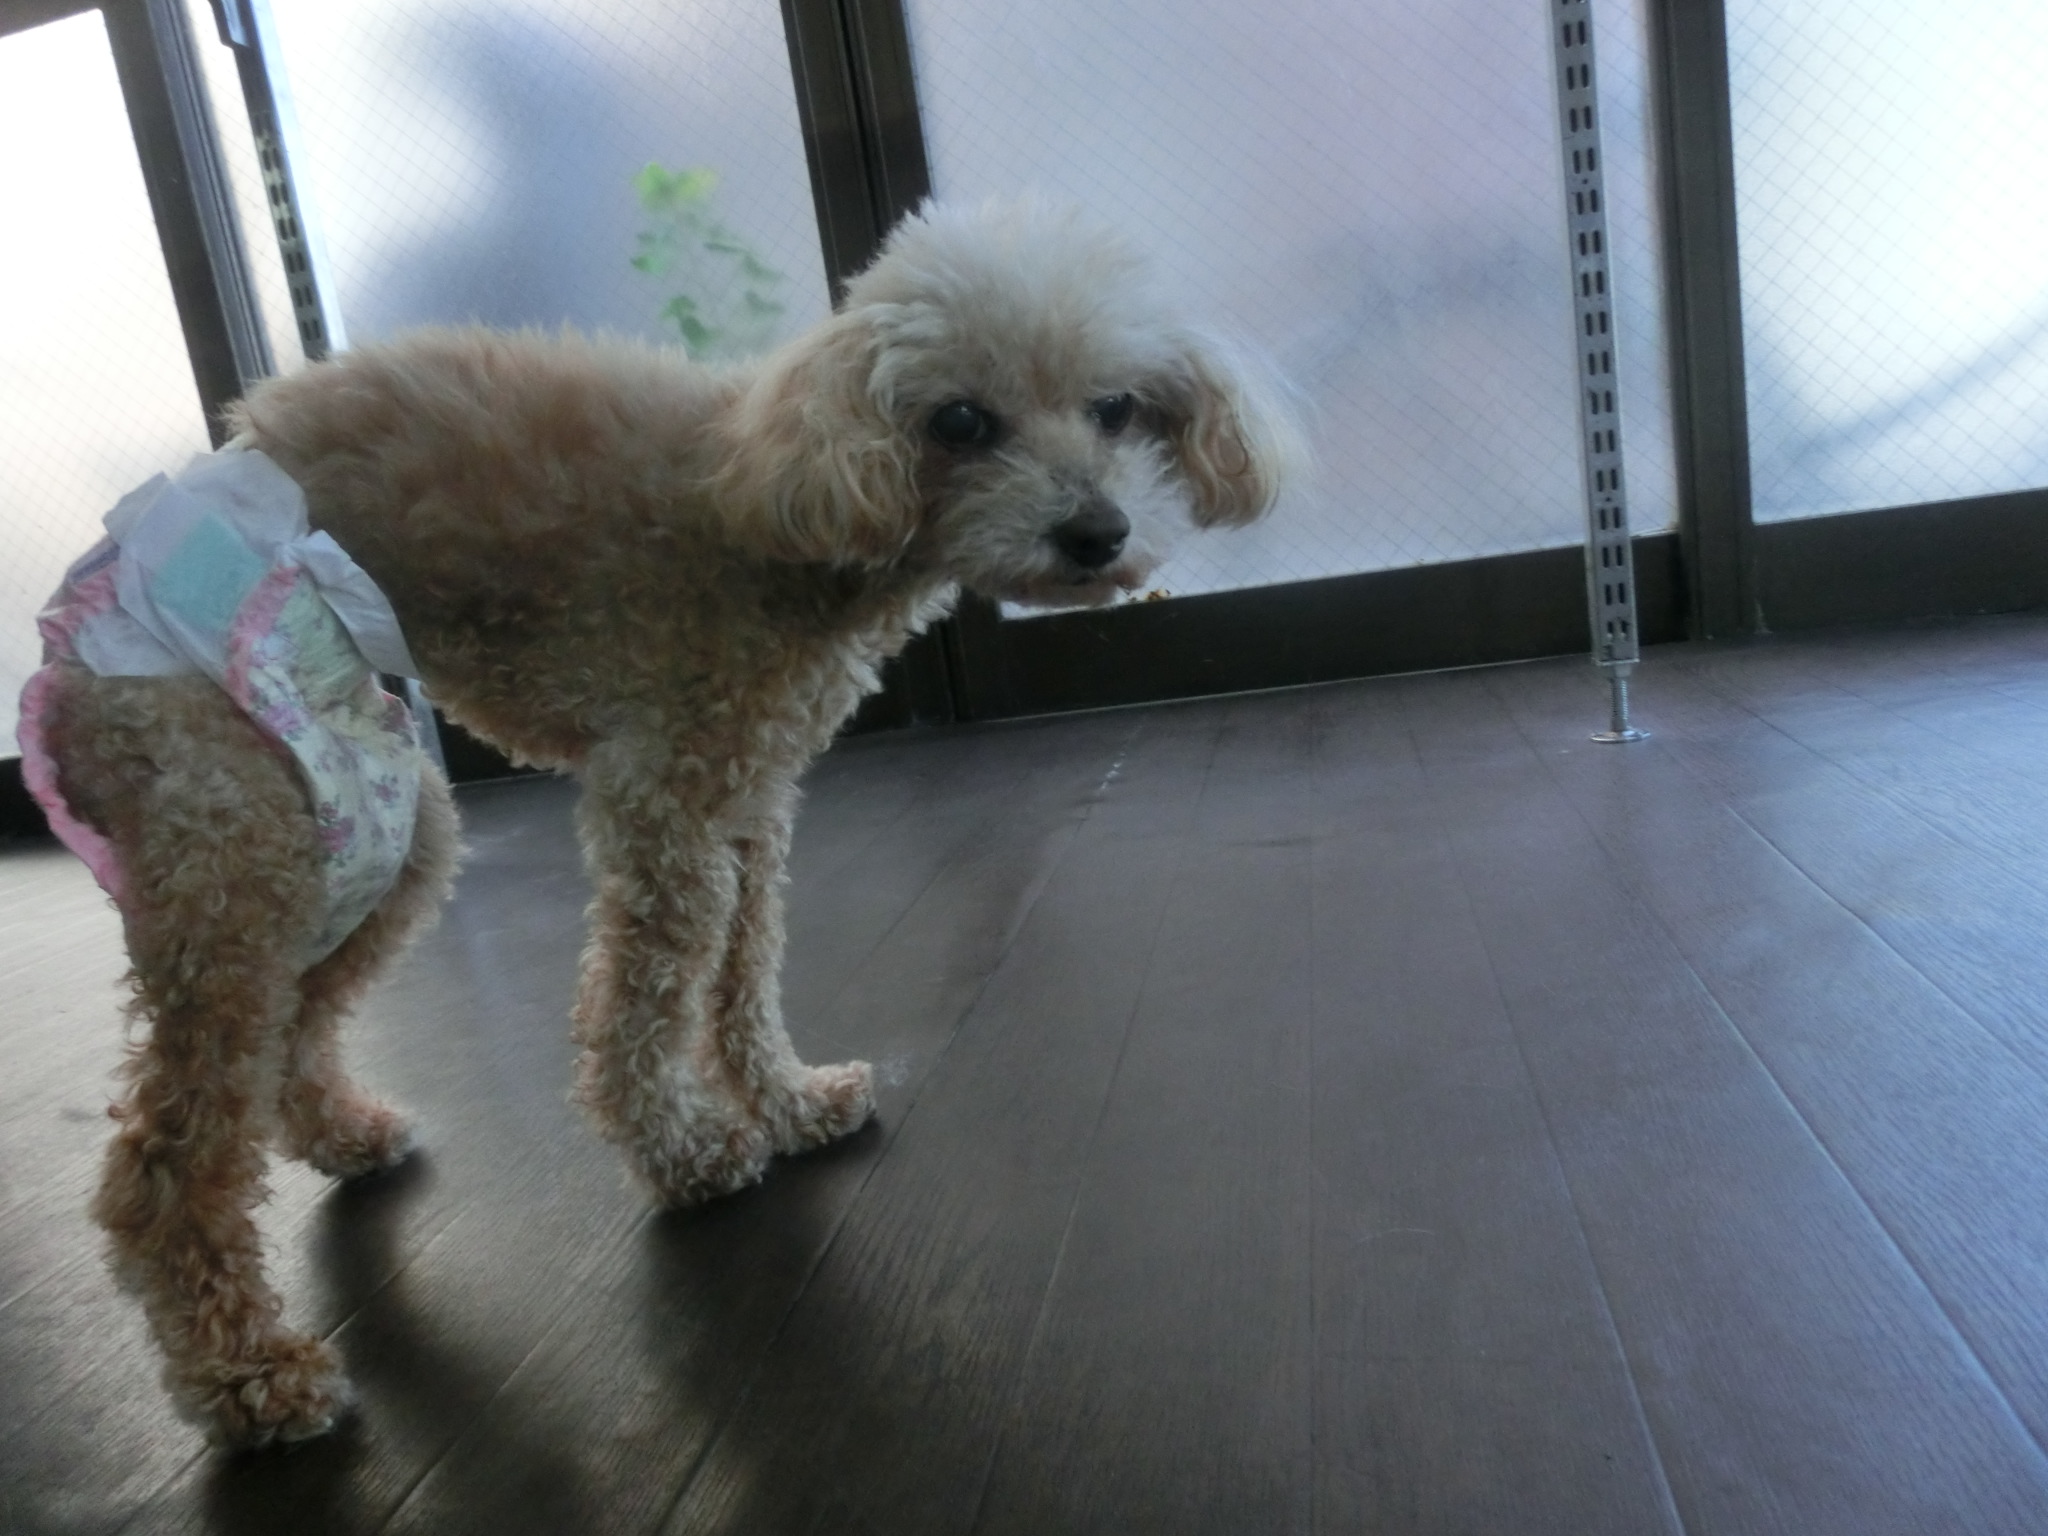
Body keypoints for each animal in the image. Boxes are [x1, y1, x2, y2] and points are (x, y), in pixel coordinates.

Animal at [28, 199, 1295, 1446]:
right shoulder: (664, 810)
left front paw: (788, 1105)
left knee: (293, 1025)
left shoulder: (748, 809)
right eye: (960, 422)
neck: (787, 496)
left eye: (1114, 407)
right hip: (239, 830)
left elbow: (744, 974)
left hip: (385, 827)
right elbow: (645, 1002)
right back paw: (247, 1372)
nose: (1096, 532)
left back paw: (341, 1137)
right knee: (161, 1157)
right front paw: (683, 1152)